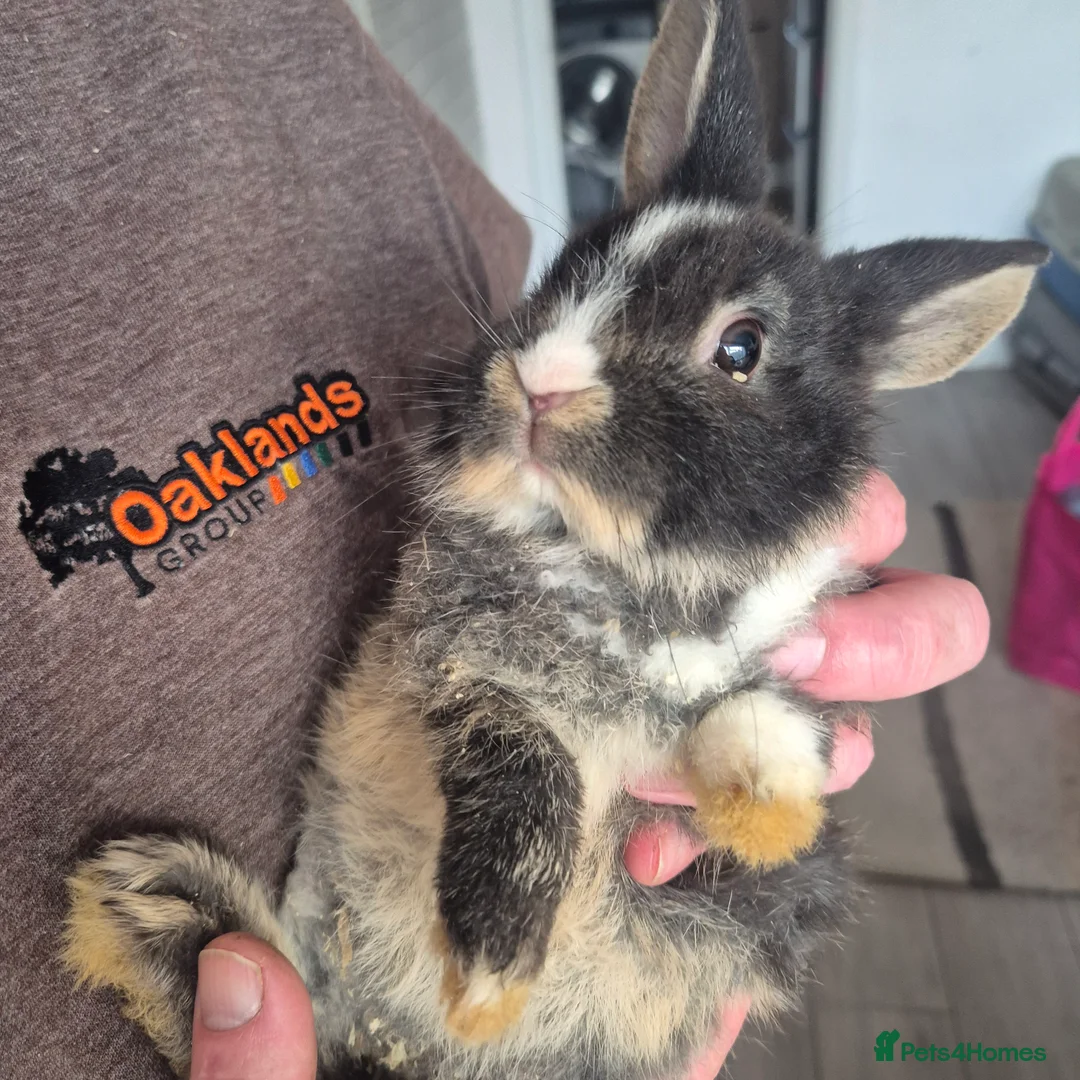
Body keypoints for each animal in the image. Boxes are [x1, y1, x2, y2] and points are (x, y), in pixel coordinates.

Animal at [63, 1, 1045, 1078]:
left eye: (741, 347)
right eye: (568, 272)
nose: (538, 384)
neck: (617, 570)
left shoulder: (796, 653)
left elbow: (769, 718)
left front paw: (765, 797)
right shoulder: (457, 671)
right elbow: (530, 761)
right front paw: (489, 980)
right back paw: (155, 913)